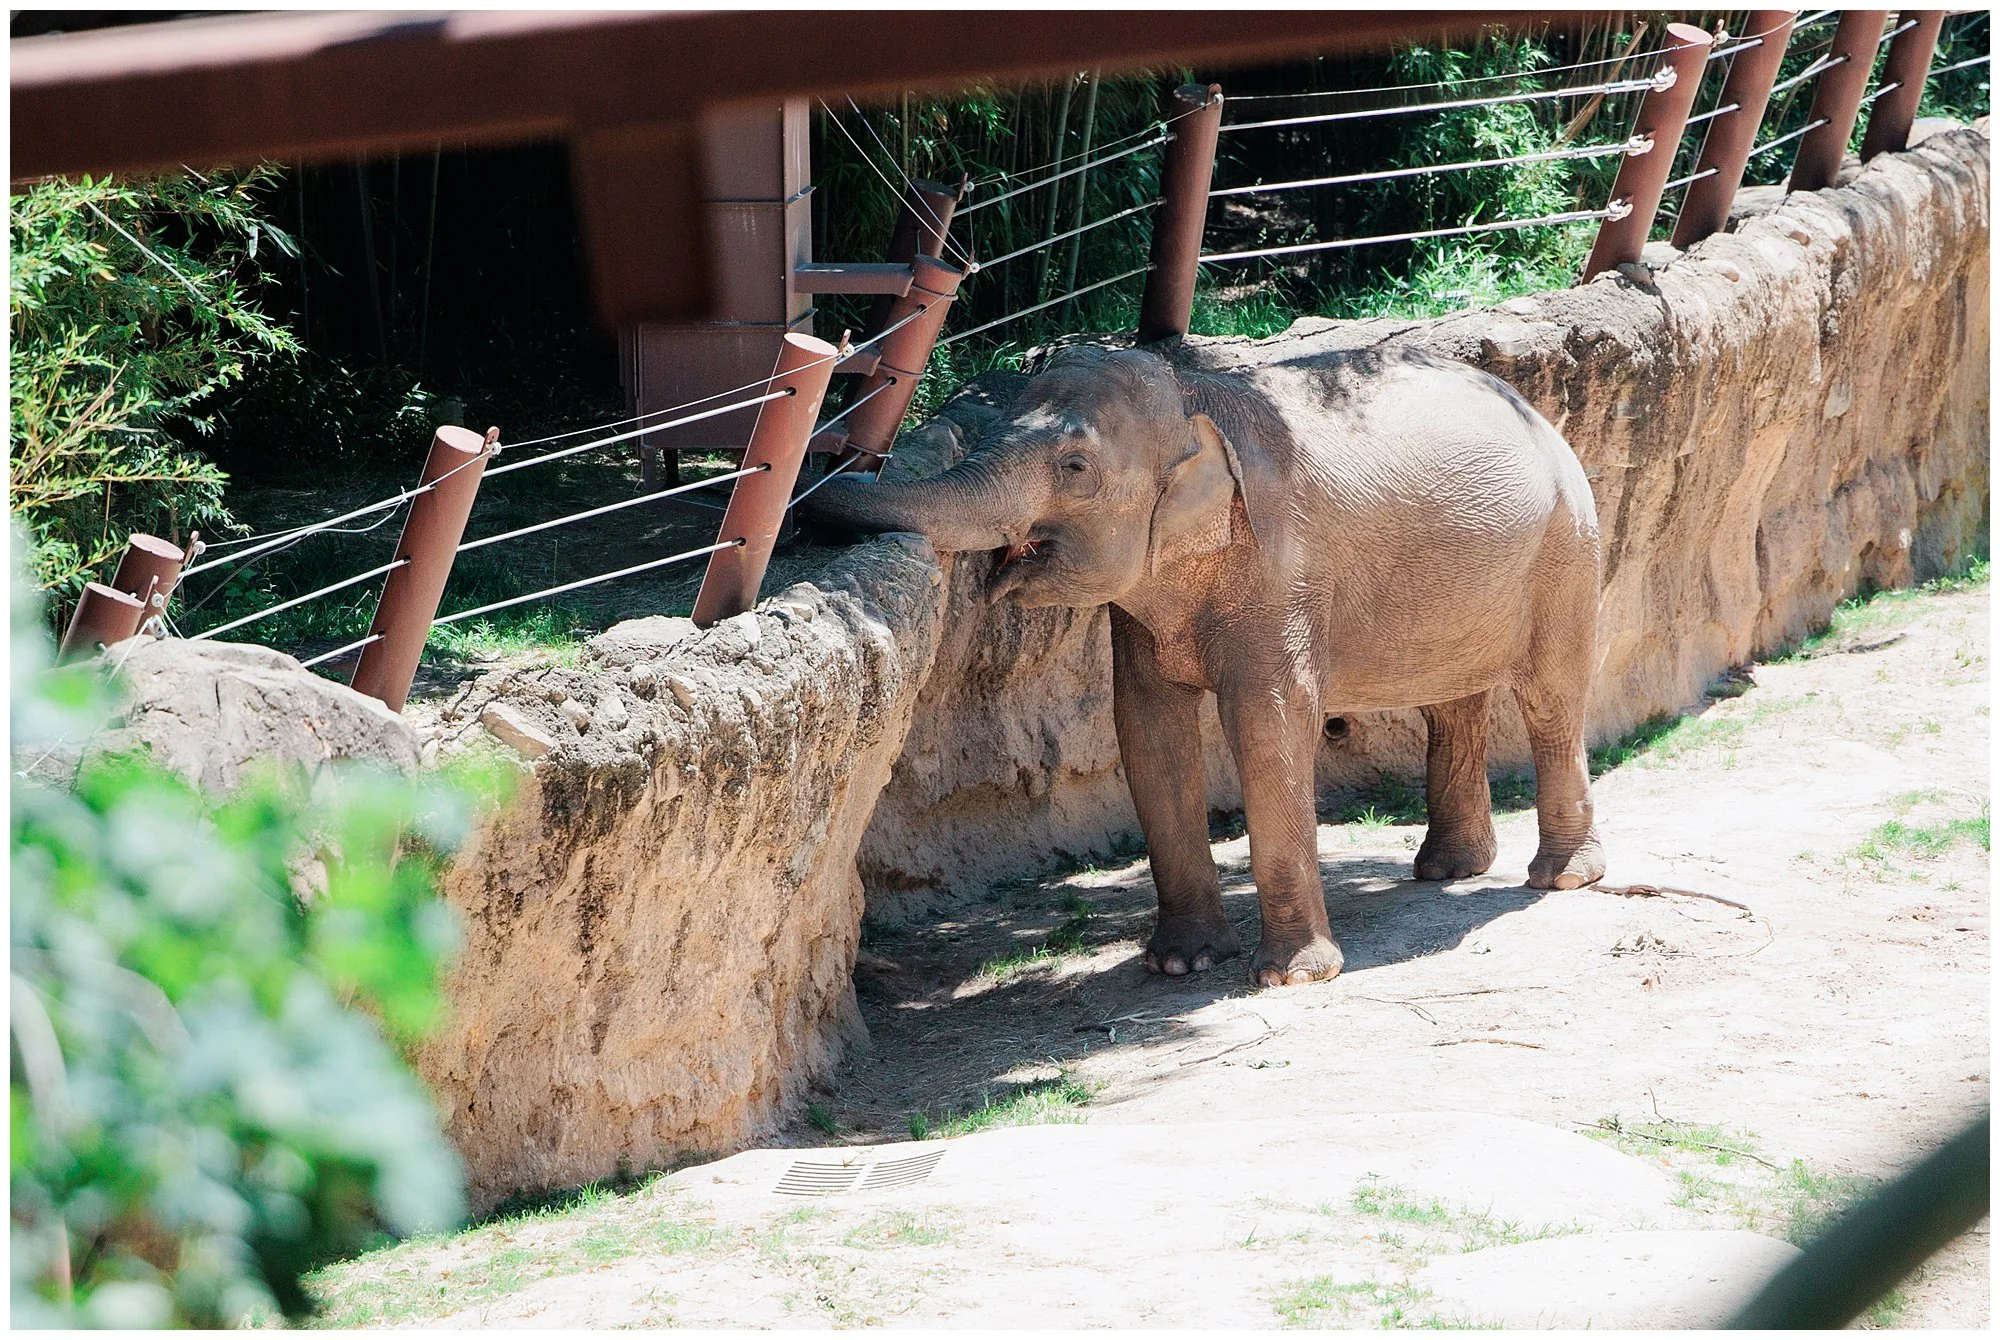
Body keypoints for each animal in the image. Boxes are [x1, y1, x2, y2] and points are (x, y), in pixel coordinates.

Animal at [803, 342, 1606, 987]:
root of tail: (1536, 415)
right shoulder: (1143, 603)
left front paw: (1291, 978)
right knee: (1453, 700)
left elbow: (1266, 725)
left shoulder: (1281, 573)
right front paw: (1179, 966)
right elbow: (1147, 730)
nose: (830, 479)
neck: (1194, 402)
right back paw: (1450, 870)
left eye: (1075, 467)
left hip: (1566, 547)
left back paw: (1562, 878)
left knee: (1551, 698)